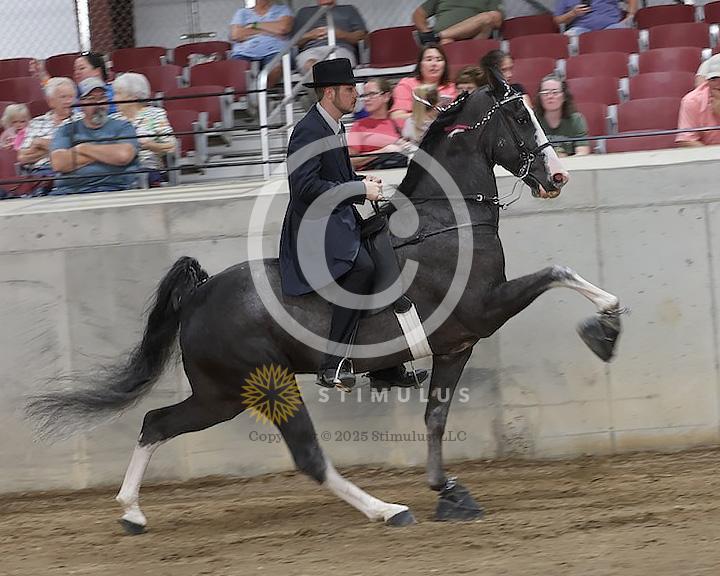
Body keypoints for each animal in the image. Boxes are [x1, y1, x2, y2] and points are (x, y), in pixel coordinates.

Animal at [26, 79, 624, 534]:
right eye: (522, 118)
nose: (557, 177)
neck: (445, 221)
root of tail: (199, 293)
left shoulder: (457, 344)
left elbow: (434, 418)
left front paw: (447, 490)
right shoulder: (482, 310)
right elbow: (557, 272)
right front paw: (607, 326)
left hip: (221, 395)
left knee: (156, 421)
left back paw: (131, 513)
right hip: (267, 384)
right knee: (308, 458)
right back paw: (387, 510)